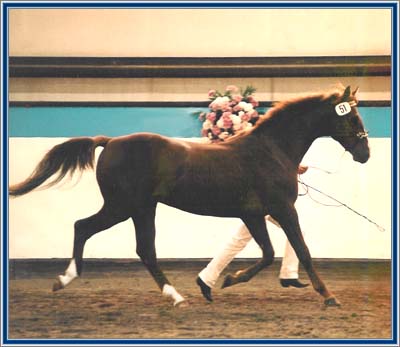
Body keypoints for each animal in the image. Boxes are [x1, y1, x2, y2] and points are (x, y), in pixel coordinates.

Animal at [8, 86, 368, 308]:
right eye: (351, 117)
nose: (364, 153)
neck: (271, 151)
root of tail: (109, 141)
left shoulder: (254, 214)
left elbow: (268, 253)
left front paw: (222, 281)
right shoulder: (281, 209)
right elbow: (301, 251)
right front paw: (329, 296)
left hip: (140, 208)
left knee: (138, 248)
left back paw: (173, 295)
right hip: (124, 206)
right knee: (86, 227)